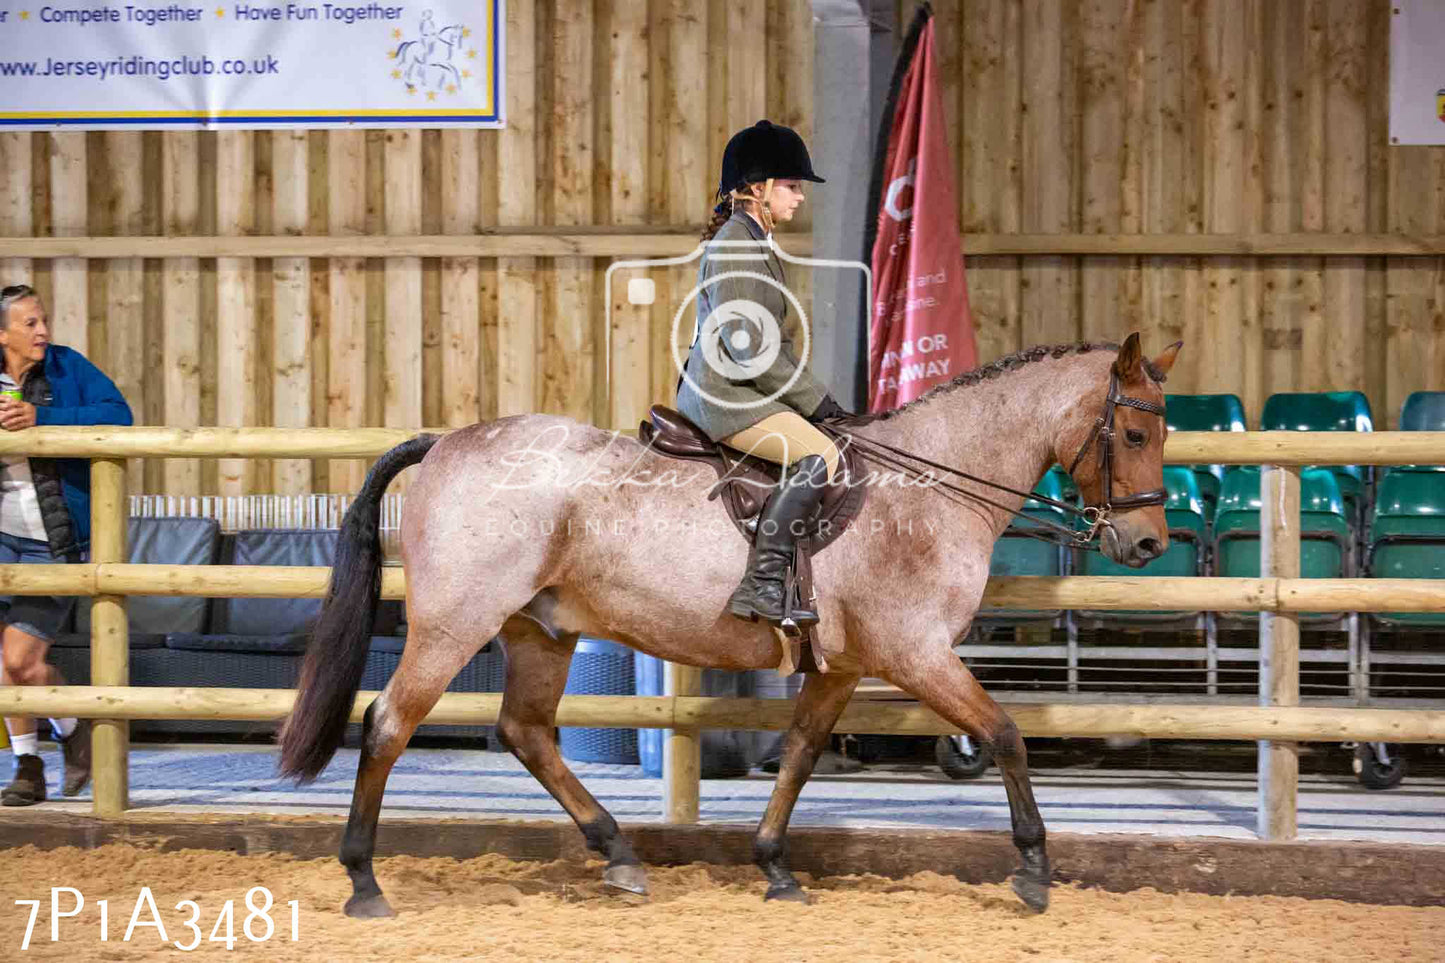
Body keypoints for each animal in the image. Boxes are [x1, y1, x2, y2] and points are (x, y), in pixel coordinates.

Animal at [275, 329, 1179, 913]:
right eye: (1135, 429)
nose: (1145, 543)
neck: (927, 485)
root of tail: (446, 443)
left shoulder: (843, 665)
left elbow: (802, 753)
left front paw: (775, 867)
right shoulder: (915, 652)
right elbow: (1004, 734)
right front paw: (1033, 868)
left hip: (541, 628)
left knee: (526, 731)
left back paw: (618, 857)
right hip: (454, 624)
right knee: (388, 723)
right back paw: (364, 881)